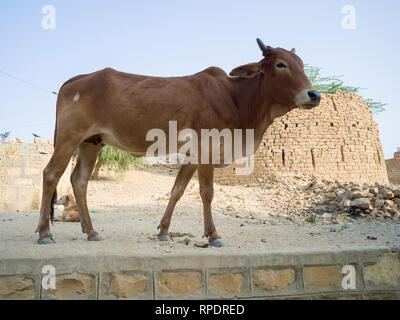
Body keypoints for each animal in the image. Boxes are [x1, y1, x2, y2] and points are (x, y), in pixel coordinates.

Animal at [36, 39, 320, 245]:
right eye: (281, 64)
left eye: (301, 64)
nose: (314, 94)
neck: (237, 99)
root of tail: (74, 80)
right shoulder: (207, 150)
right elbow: (206, 193)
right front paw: (213, 235)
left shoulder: (192, 155)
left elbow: (177, 190)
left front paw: (163, 231)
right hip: (68, 138)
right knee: (51, 174)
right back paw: (44, 234)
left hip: (91, 143)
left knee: (79, 181)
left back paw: (91, 231)